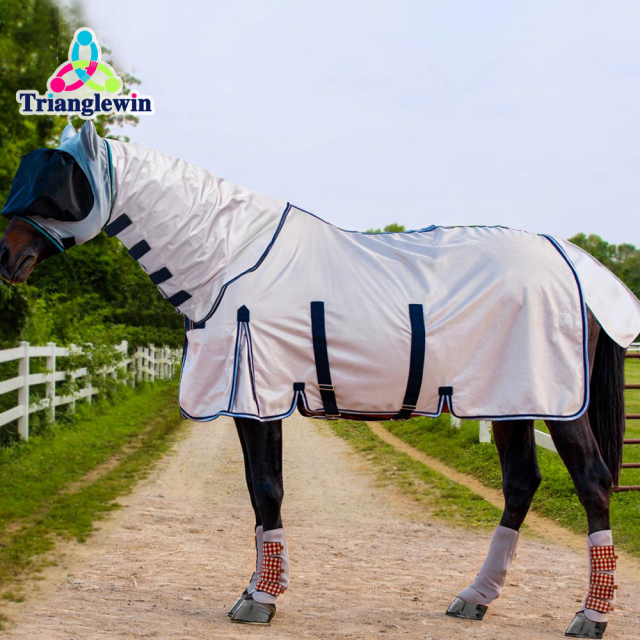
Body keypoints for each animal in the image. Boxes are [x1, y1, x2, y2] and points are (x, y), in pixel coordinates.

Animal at [1, 121, 638, 638]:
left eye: (58, 186)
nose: (7, 259)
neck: (230, 259)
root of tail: (575, 262)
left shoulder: (259, 396)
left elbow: (267, 490)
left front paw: (259, 599)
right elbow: (259, 492)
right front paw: (259, 589)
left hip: (557, 403)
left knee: (591, 482)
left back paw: (590, 615)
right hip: (509, 399)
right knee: (521, 483)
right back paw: (475, 597)